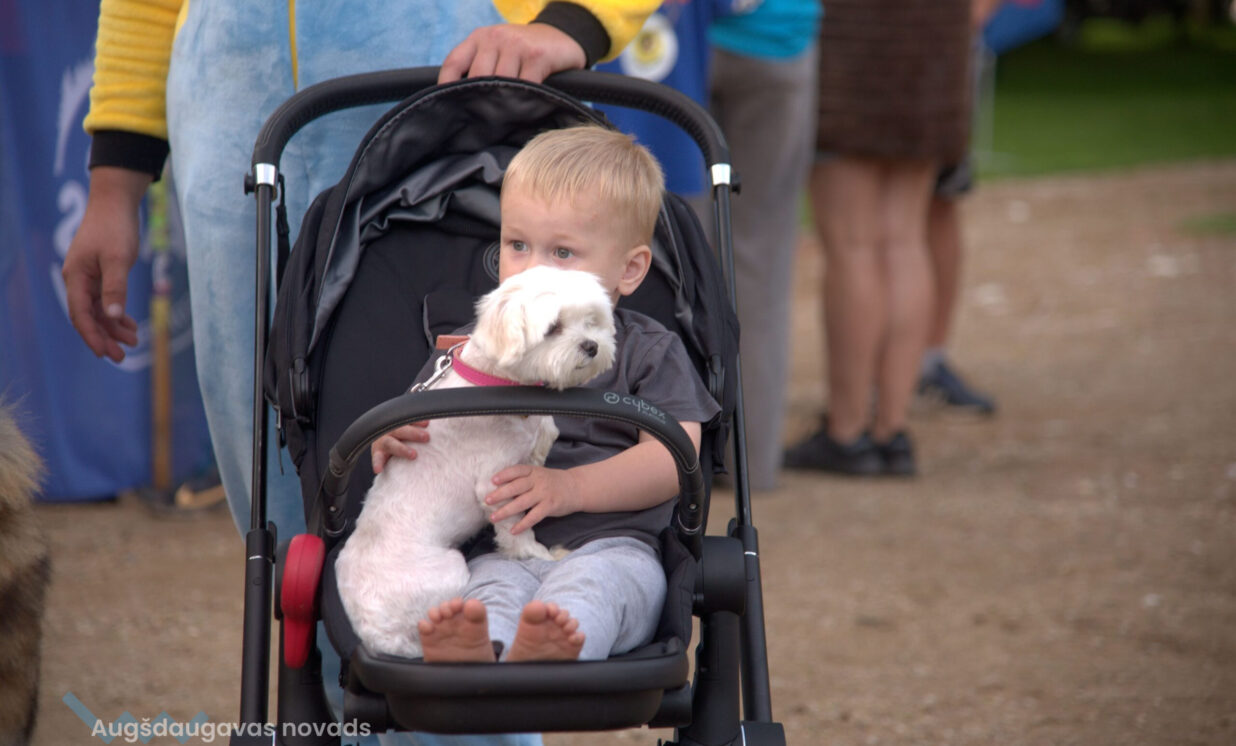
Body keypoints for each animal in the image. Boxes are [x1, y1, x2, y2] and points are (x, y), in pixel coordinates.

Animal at [336, 266, 617, 658]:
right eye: (553, 328)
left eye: (591, 321)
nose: (592, 346)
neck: (493, 384)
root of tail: (375, 635)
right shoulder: (496, 484)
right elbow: (517, 532)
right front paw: (538, 554)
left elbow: (547, 429)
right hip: (449, 569)